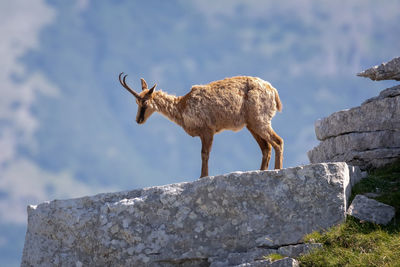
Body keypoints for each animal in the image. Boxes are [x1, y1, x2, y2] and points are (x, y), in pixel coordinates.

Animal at [117, 73, 282, 178]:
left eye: (144, 103)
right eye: (136, 102)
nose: (138, 120)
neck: (182, 106)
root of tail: (273, 91)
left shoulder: (207, 131)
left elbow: (204, 154)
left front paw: (203, 176)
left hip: (259, 120)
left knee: (278, 141)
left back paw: (278, 169)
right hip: (251, 125)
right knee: (266, 147)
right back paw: (262, 171)